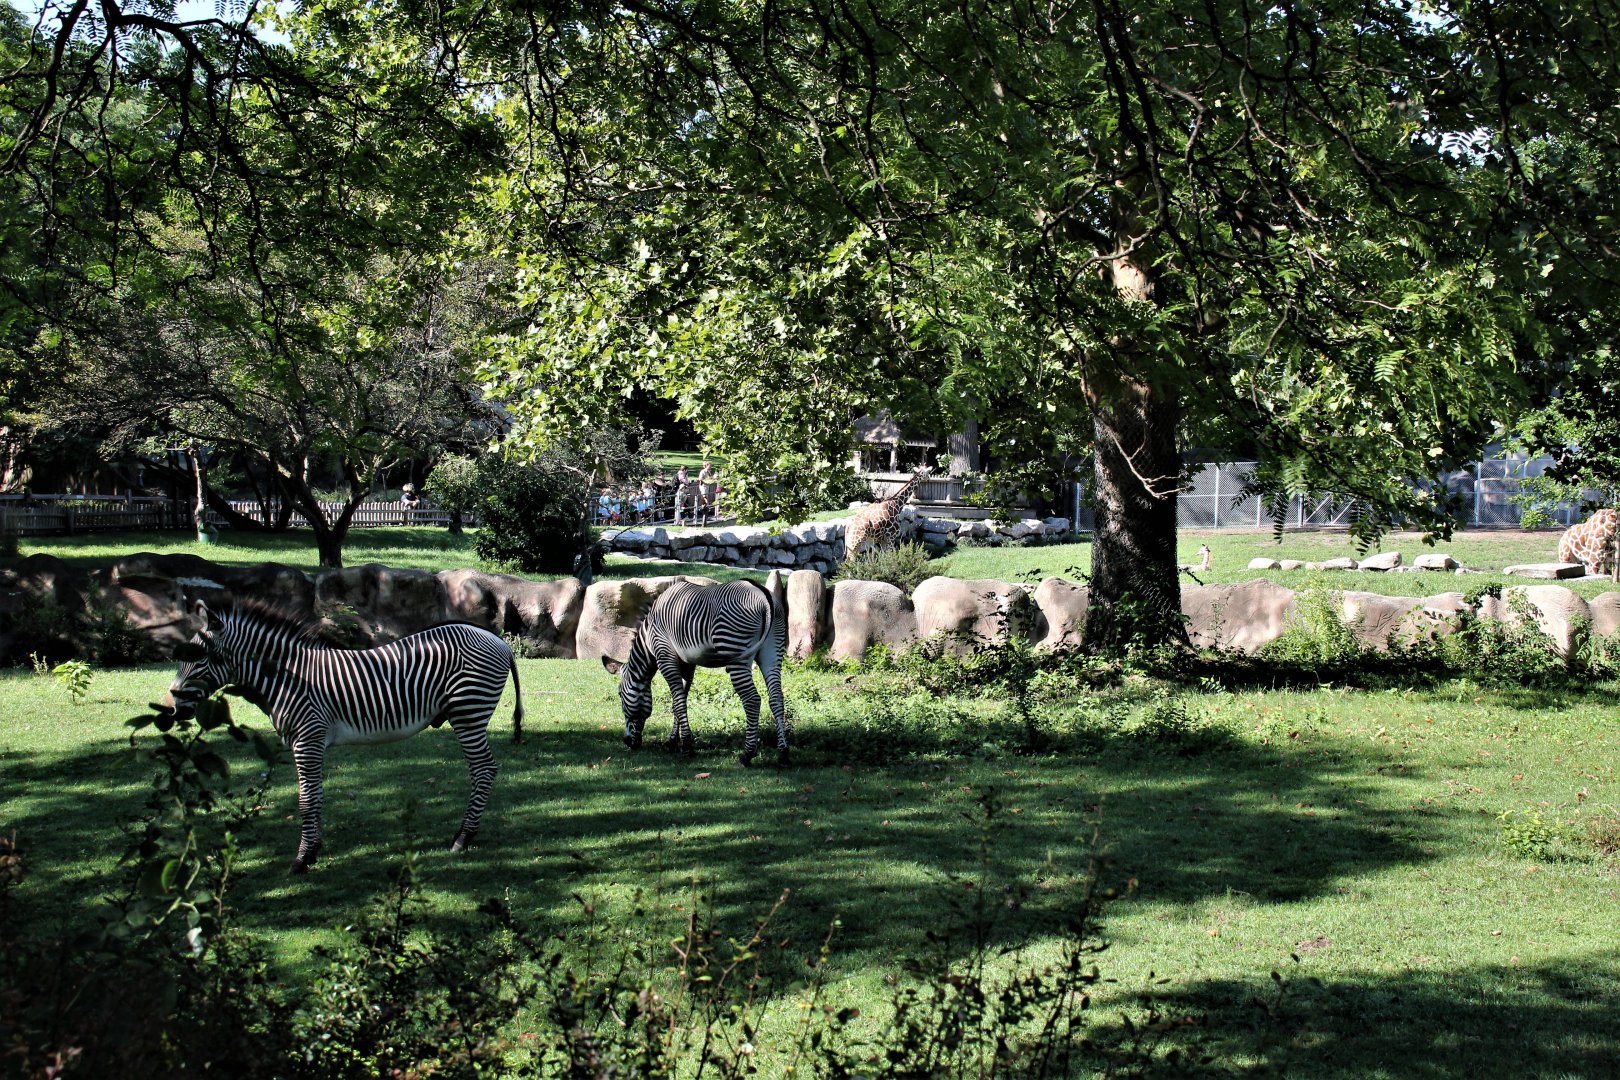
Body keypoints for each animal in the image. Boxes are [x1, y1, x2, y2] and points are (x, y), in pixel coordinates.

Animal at [160, 599, 524, 872]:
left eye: (200, 658)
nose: (173, 706)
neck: (286, 677)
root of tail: (499, 642)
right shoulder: (310, 742)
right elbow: (317, 795)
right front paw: (314, 849)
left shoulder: (307, 738)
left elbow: (306, 799)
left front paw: (302, 859)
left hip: (468, 711)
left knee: (484, 770)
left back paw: (463, 838)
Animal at [602, 578, 789, 766]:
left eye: (620, 694)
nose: (627, 742)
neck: (647, 638)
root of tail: (763, 594)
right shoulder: (687, 664)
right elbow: (679, 701)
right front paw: (673, 742)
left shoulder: (665, 657)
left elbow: (677, 701)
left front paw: (686, 746)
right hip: (772, 652)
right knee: (776, 698)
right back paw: (783, 753)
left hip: (735, 652)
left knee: (752, 700)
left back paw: (747, 755)